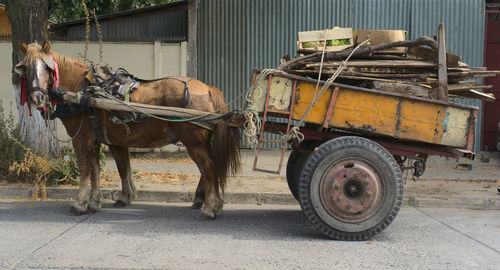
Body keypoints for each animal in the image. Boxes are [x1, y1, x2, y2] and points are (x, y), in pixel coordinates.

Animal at [16, 42, 242, 219]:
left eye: (47, 69)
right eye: (25, 68)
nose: (37, 98)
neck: (82, 91)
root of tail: (207, 88)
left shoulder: (81, 139)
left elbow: (85, 170)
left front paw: (79, 204)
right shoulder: (101, 140)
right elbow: (106, 169)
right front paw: (98, 202)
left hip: (193, 141)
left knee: (209, 168)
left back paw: (209, 208)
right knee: (209, 168)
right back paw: (207, 202)